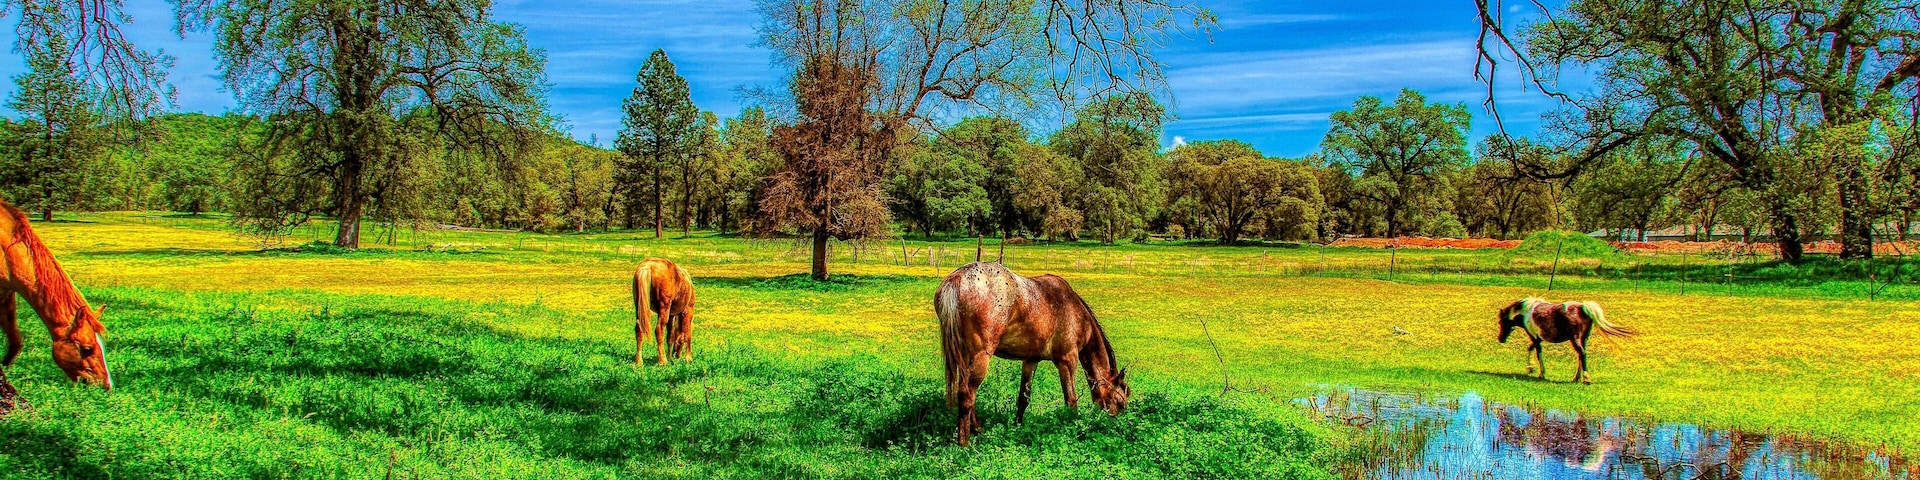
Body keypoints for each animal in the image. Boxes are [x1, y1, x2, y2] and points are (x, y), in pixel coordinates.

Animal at [936, 262, 1128, 447]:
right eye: (1120, 403)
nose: (1116, 427)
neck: (1076, 314)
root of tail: (958, 278)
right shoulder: (1067, 361)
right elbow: (1071, 400)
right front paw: (1072, 428)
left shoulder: (1031, 360)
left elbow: (1024, 398)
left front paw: (1018, 426)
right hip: (981, 355)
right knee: (967, 394)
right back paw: (964, 442)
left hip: (965, 356)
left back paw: (978, 430)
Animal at [1497, 298, 1635, 384]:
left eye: (1501, 322)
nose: (1500, 339)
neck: (1526, 312)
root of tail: (1583, 307)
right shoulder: (1538, 339)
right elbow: (1531, 348)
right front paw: (1531, 369)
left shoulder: (1535, 338)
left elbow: (1536, 352)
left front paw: (1538, 372)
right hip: (1583, 338)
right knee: (1581, 355)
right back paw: (1576, 378)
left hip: (1575, 338)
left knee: (1582, 353)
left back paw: (1586, 379)